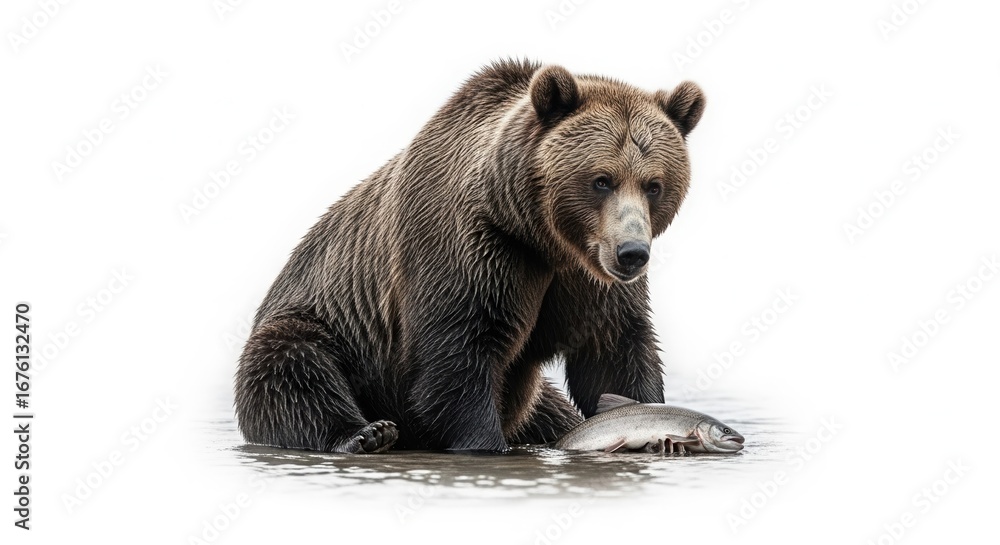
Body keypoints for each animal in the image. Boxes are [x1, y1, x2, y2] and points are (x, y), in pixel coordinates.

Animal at [234, 59, 705, 453]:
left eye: (654, 185)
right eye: (602, 180)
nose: (632, 254)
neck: (539, 235)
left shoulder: (585, 278)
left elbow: (611, 351)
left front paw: (651, 423)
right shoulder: (475, 251)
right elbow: (457, 357)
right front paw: (486, 444)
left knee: (549, 409)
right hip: (326, 323)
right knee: (292, 366)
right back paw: (364, 435)